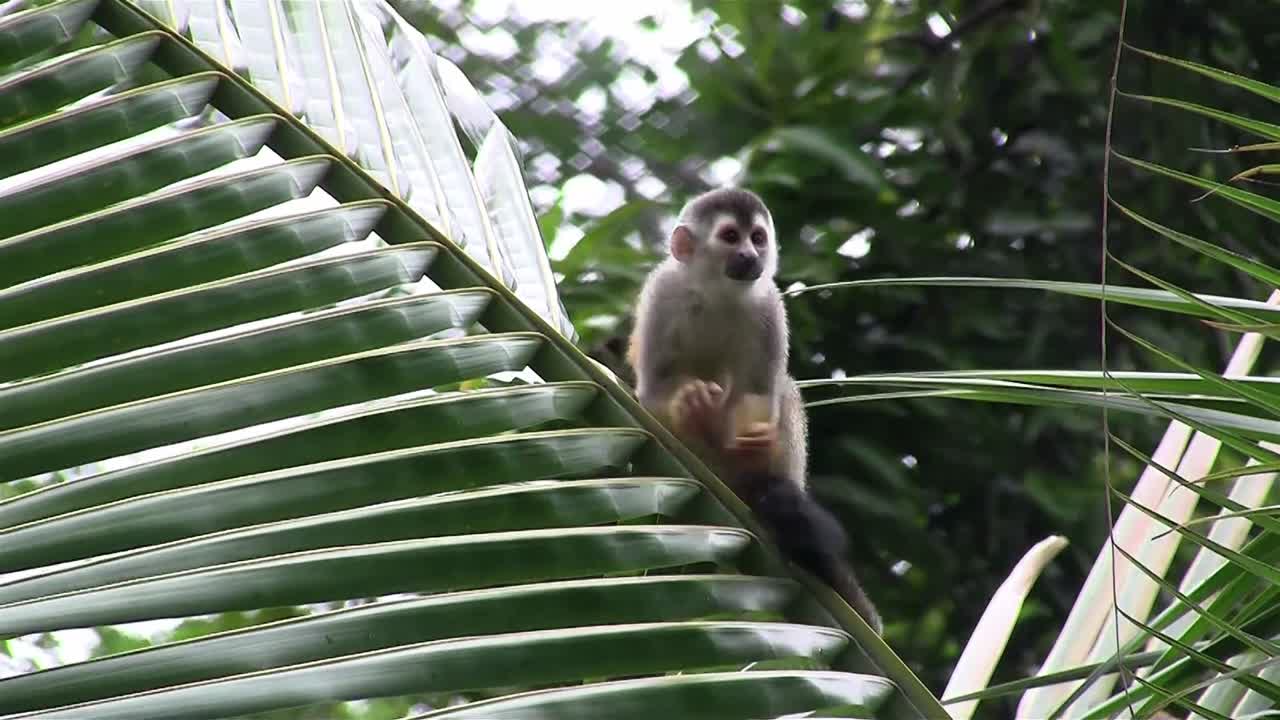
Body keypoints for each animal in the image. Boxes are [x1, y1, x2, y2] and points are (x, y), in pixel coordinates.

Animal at [627, 187, 883, 635]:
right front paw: (692, 409)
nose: (750, 256)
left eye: (758, 238)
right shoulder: (663, 291)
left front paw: (753, 445)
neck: (717, 290)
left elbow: (758, 394)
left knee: (782, 392)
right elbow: (654, 393)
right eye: (731, 236)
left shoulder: (769, 305)